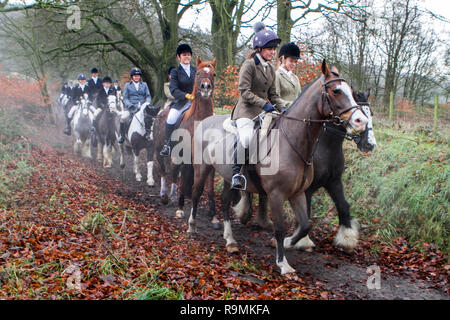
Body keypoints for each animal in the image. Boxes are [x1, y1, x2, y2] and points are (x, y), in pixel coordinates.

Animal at [153, 57, 220, 228]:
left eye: (214, 74)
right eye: (198, 73)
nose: (205, 88)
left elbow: (209, 188)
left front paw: (214, 217)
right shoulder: (185, 157)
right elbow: (183, 181)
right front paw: (180, 210)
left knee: (174, 173)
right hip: (160, 151)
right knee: (165, 172)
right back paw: (165, 196)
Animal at [190, 62, 370, 276]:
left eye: (350, 91)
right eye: (336, 91)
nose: (360, 121)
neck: (291, 141)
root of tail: (206, 120)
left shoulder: (299, 192)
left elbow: (305, 225)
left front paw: (287, 243)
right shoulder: (277, 194)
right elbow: (280, 228)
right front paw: (283, 263)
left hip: (228, 177)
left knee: (225, 203)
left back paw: (230, 241)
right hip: (202, 169)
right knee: (196, 193)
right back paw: (191, 227)